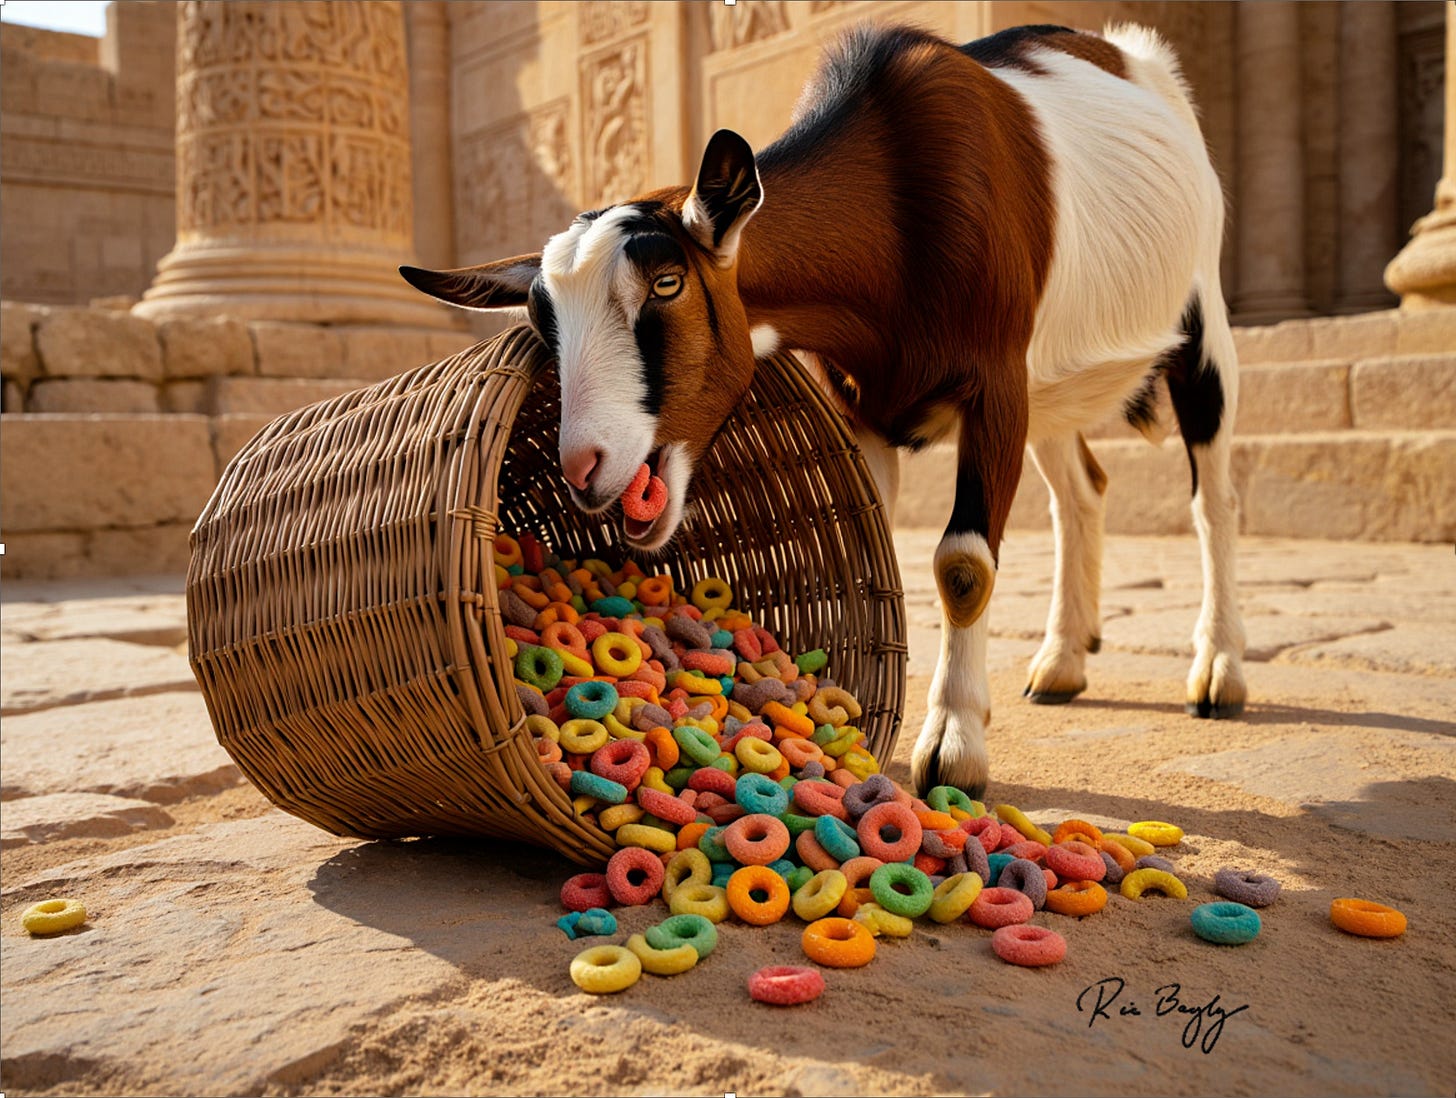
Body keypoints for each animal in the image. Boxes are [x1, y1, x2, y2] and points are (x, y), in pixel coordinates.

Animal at [401, 22, 1247, 799]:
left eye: (667, 283)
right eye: (543, 319)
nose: (584, 465)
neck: (898, 204)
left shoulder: (996, 382)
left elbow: (963, 565)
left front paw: (955, 746)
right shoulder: (861, 401)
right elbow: (879, 554)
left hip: (1200, 317)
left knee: (1212, 496)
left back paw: (1219, 672)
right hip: (1054, 386)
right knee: (1082, 491)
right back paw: (1063, 662)